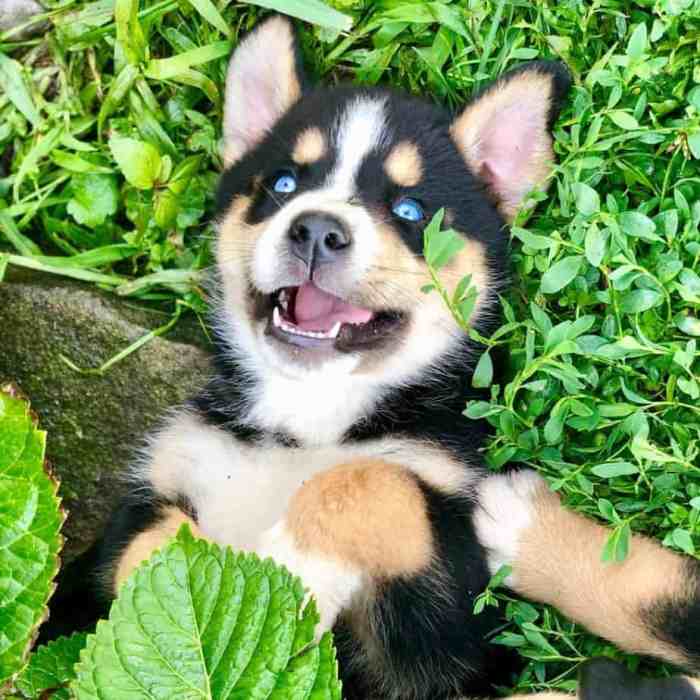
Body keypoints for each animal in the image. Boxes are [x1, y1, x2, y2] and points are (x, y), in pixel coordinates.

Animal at [102, 16, 700, 700]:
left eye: (410, 210)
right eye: (283, 184)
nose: (315, 230)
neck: (305, 423)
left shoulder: (439, 623)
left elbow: (372, 481)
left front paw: (293, 570)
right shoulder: (158, 490)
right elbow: (150, 558)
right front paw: (196, 596)